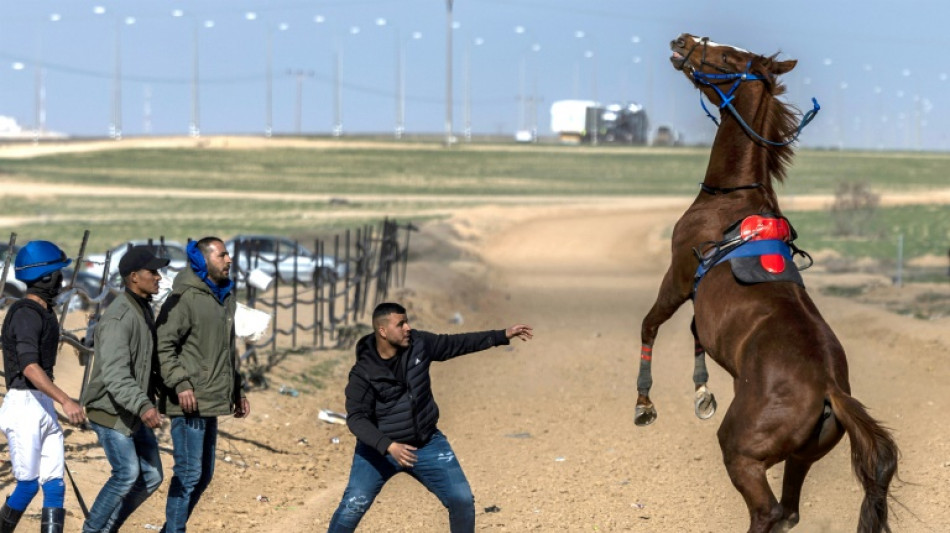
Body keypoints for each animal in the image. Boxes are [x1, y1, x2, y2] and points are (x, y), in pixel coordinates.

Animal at [640, 34, 900, 532]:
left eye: (727, 57)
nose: (683, 41)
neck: (733, 201)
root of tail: (829, 390)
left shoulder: (678, 278)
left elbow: (650, 325)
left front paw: (643, 403)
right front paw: (700, 391)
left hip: (741, 451)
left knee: (768, 512)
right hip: (802, 457)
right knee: (789, 511)